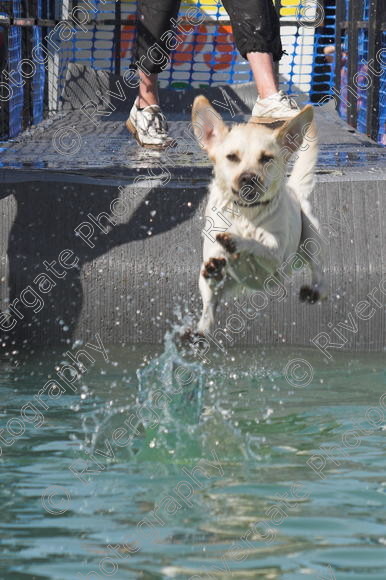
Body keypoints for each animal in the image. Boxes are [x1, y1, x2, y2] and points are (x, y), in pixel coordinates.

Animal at [192, 96, 326, 336]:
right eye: (232, 157)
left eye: (266, 159)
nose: (248, 177)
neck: (246, 213)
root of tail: (294, 189)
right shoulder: (213, 255)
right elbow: (214, 272)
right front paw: (219, 265)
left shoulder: (275, 260)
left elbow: (258, 244)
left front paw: (238, 242)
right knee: (210, 309)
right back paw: (200, 331)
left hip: (311, 236)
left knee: (318, 269)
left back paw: (315, 290)